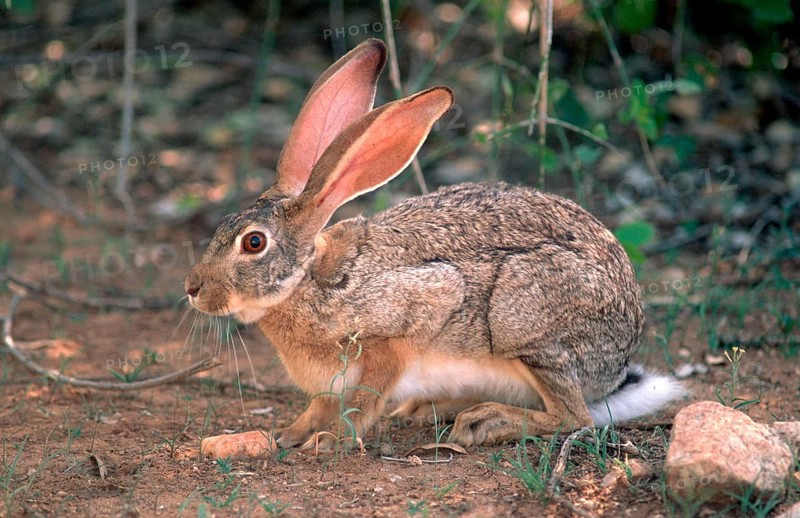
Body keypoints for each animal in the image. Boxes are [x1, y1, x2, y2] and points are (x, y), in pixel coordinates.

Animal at [185, 38, 684, 456]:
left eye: (253, 243)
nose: (193, 288)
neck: (307, 279)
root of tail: (616, 367)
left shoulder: (399, 330)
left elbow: (366, 399)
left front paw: (332, 441)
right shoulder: (330, 384)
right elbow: (319, 407)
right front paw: (289, 434)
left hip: (527, 331)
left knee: (573, 417)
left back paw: (485, 422)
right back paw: (430, 410)